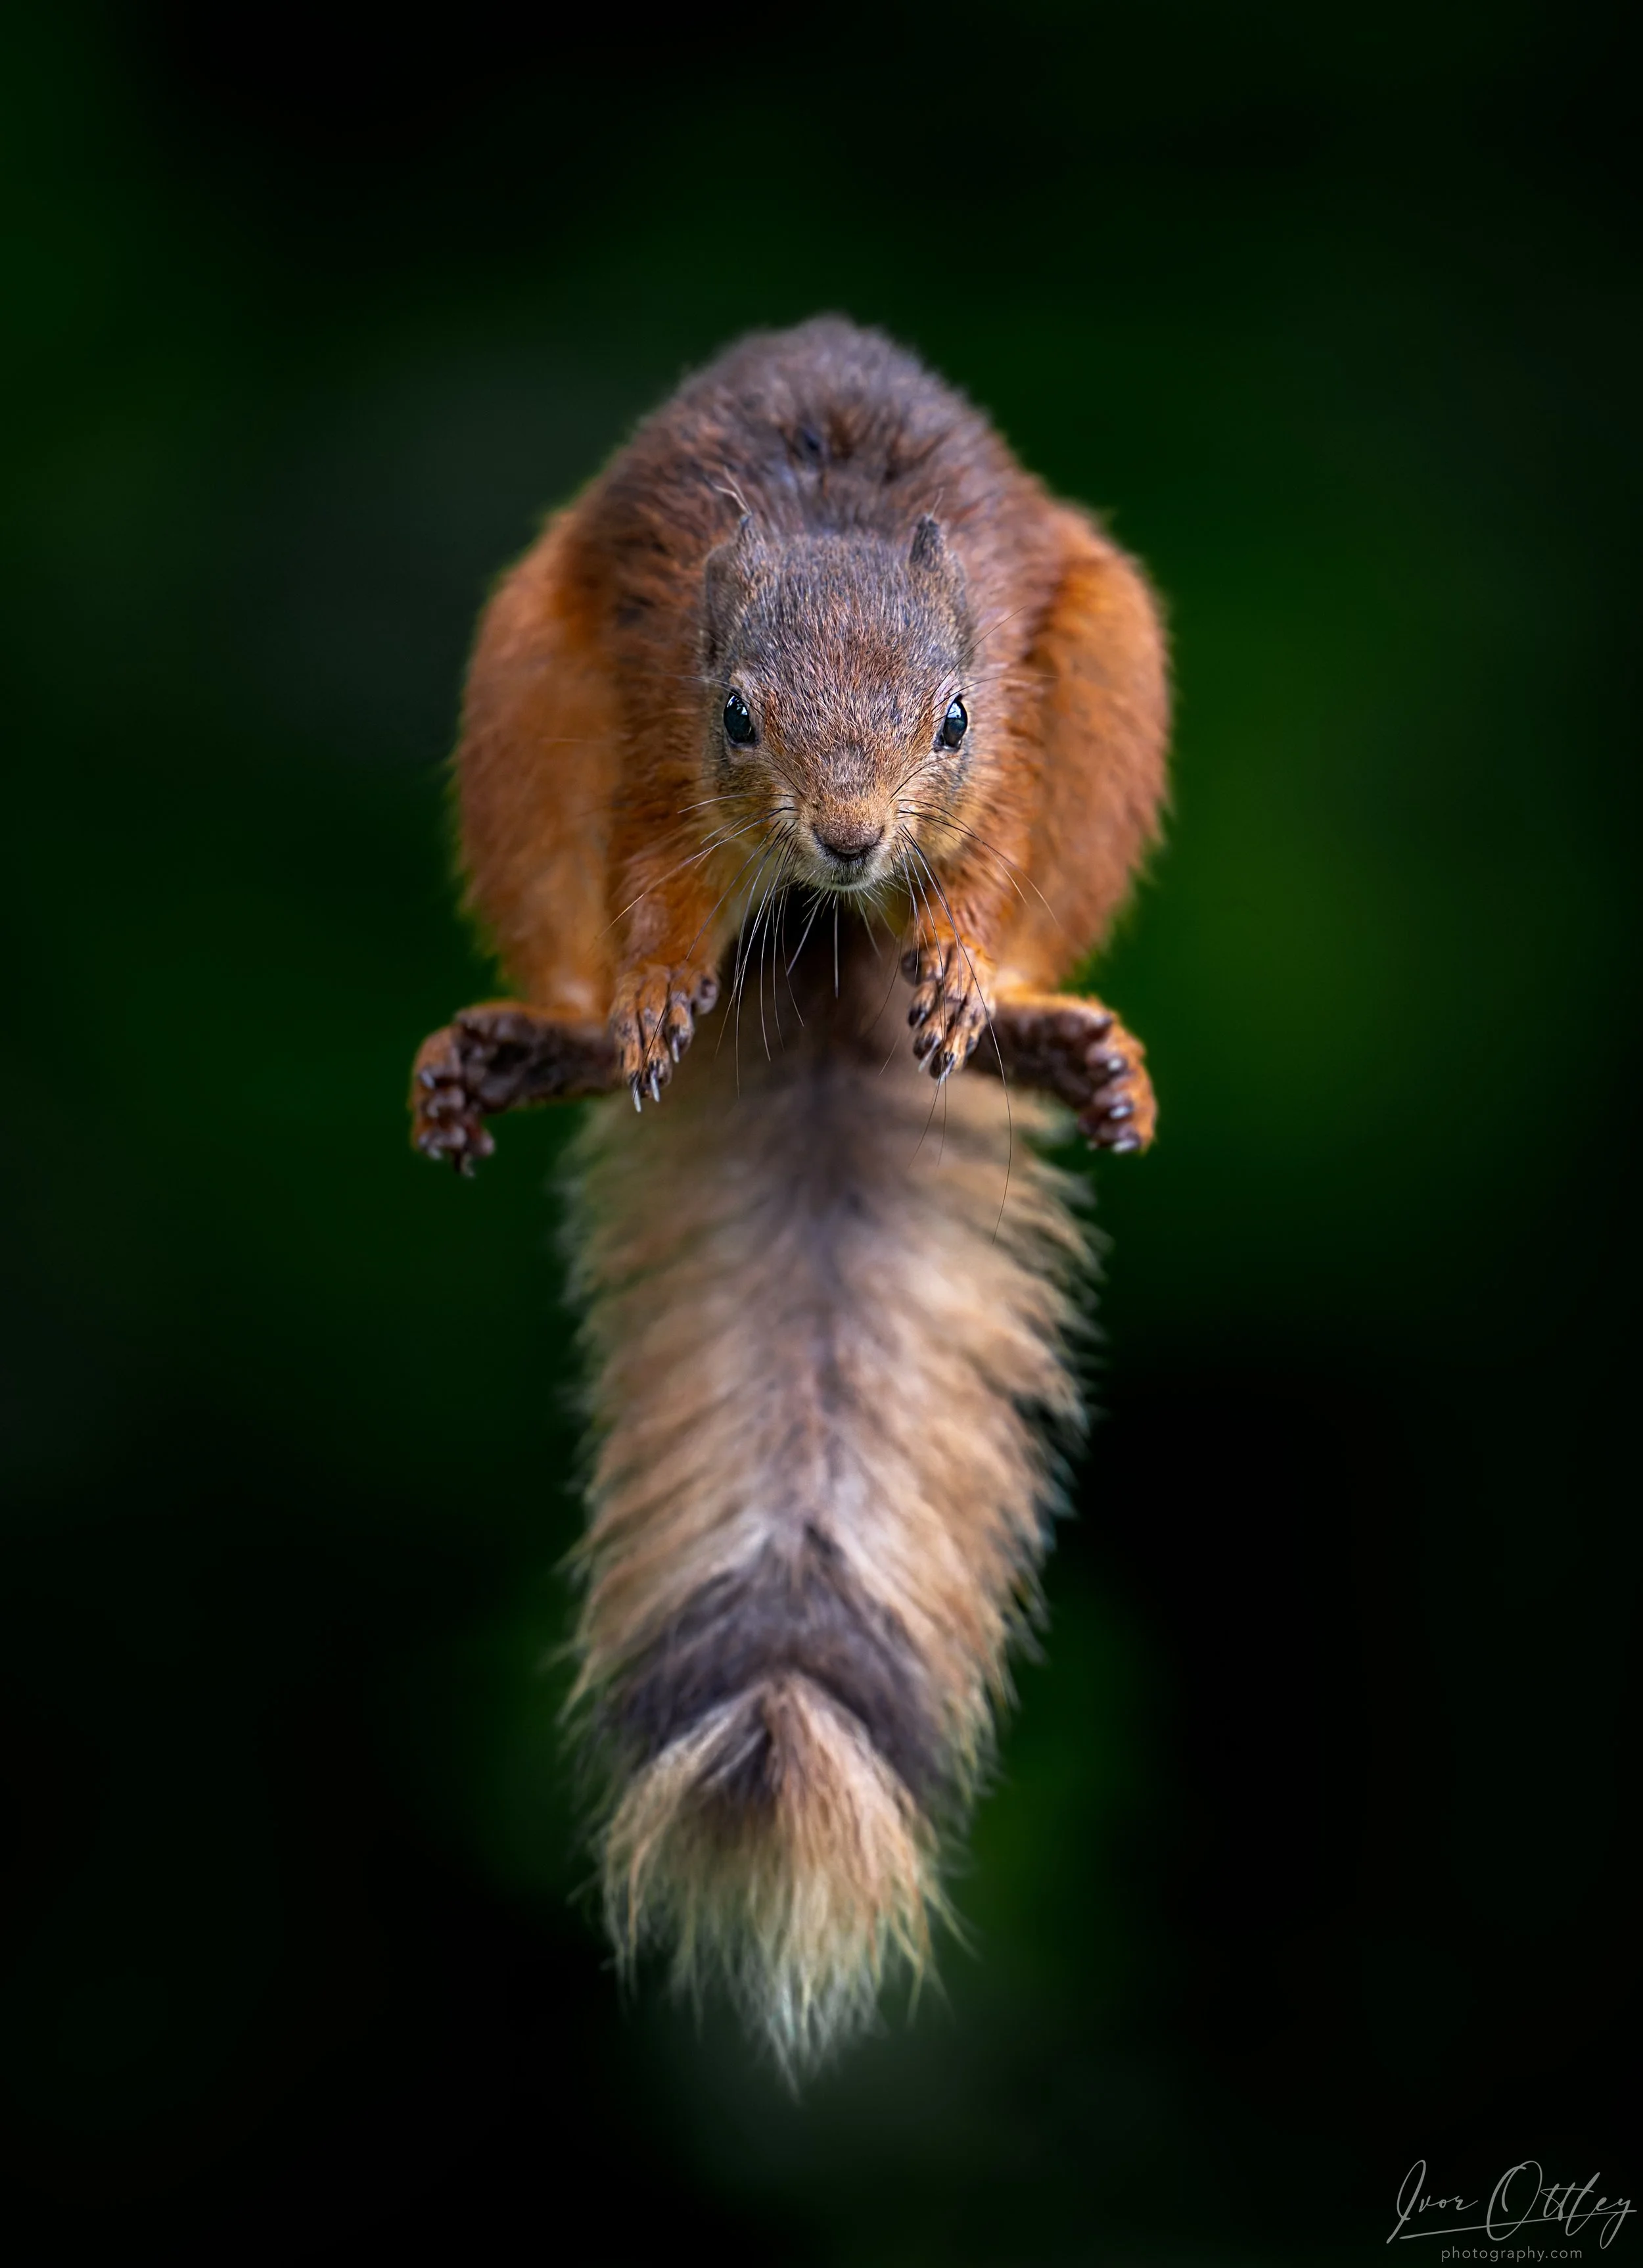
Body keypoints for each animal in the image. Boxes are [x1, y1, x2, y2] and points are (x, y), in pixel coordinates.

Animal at [409, 317, 1169, 2073]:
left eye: (952, 717)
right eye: (739, 716)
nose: (844, 834)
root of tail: (820, 953)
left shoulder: (1023, 727)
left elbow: (991, 854)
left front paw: (962, 951)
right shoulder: (644, 715)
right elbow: (651, 880)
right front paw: (649, 991)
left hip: (1116, 668)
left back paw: (1032, 1020)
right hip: (523, 695)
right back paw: (556, 1033)